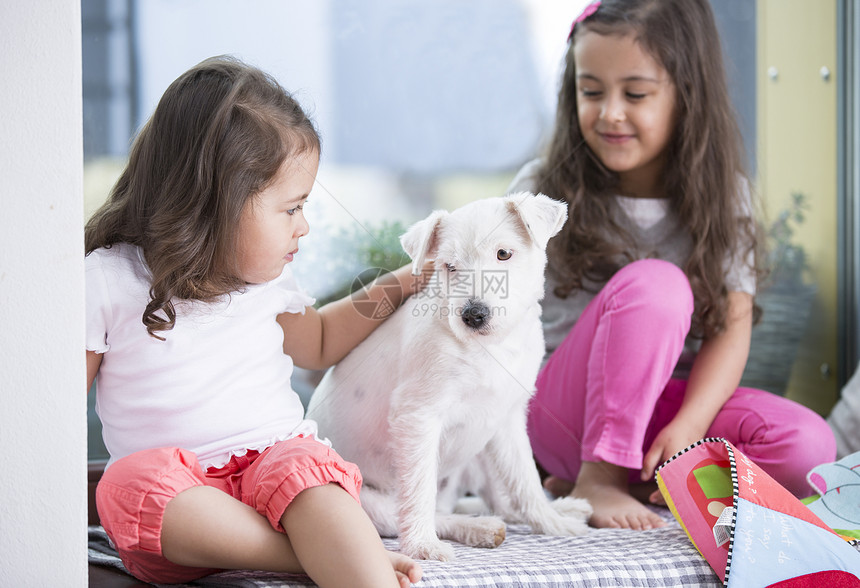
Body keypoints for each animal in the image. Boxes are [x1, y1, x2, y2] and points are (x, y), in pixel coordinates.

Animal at [306, 192, 596, 560]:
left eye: (503, 254)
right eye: (449, 266)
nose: (473, 315)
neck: (490, 348)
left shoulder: (507, 417)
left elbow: (525, 478)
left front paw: (550, 522)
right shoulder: (417, 416)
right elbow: (419, 489)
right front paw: (422, 545)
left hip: (481, 449)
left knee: (499, 500)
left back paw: (559, 510)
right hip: (365, 499)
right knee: (419, 513)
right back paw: (477, 529)